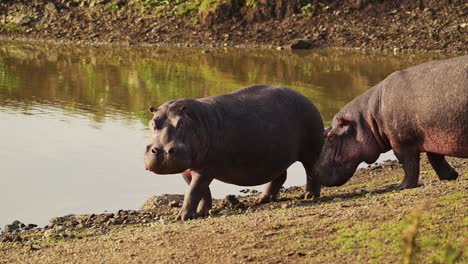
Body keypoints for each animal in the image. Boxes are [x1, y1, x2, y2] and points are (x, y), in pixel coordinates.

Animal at [144, 85, 324, 221]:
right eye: (153, 122)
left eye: (181, 123)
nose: (162, 152)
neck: (195, 121)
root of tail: (307, 99)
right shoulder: (189, 169)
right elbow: (202, 191)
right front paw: (202, 212)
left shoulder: (206, 169)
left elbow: (193, 192)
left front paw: (182, 217)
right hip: (276, 156)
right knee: (280, 176)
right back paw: (262, 199)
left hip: (310, 151)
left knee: (311, 171)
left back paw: (309, 196)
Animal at [314, 54, 468, 189]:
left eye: (331, 136)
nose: (314, 171)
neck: (368, 117)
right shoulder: (430, 136)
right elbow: (436, 159)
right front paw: (450, 176)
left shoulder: (401, 143)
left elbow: (409, 165)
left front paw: (399, 187)